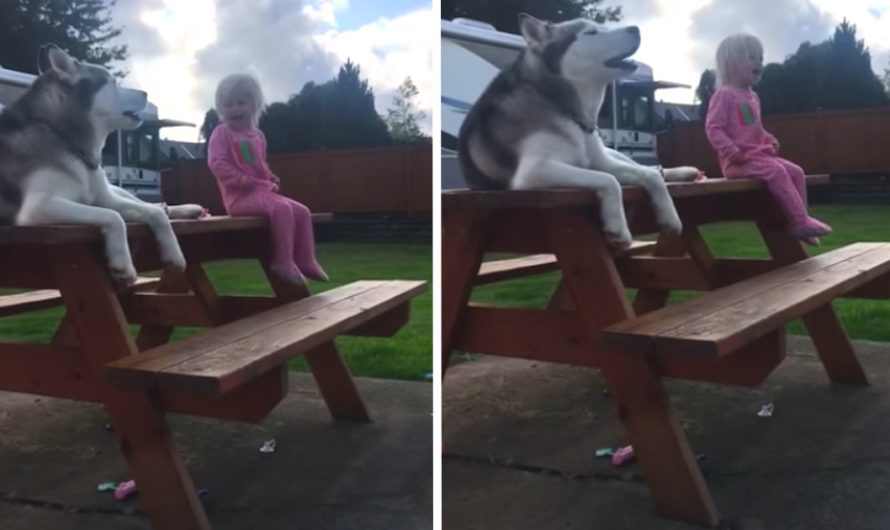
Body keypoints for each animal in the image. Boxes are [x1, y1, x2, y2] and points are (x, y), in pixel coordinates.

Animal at [0, 45, 202, 284]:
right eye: (112, 82)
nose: (146, 93)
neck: (66, 140)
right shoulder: (39, 207)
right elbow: (113, 217)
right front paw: (122, 264)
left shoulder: (103, 198)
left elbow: (153, 214)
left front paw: (174, 253)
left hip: (115, 190)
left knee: (153, 206)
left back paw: (187, 209)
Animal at [458, 13, 700, 245]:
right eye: (591, 33)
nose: (636, 29)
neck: (564, 108)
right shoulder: (535, 171)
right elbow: (609, 180)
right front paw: (617, 227)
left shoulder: (601, 162)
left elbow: (648, 177)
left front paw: (670, 217)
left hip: (612, 153)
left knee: (649, 169)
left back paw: (683, 172)